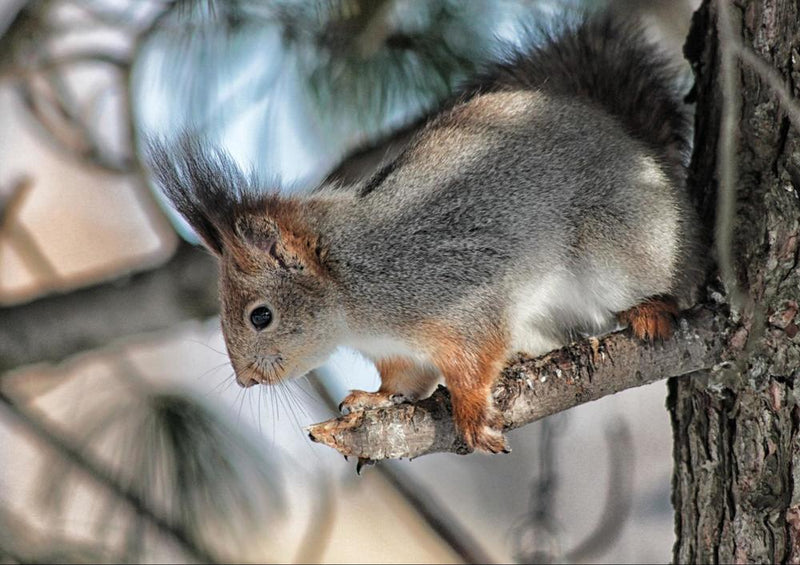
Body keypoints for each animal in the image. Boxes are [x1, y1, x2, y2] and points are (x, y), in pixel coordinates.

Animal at [145, 14, 708, 454]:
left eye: (260, 316)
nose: (246, 379)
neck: (351, 293)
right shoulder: (399, 352)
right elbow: (404, 382)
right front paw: (372, 398)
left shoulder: (456, 296)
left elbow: (474, 359)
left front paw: (471, 412)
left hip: (620, 245)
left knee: (669, 282)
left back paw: (650, 308)